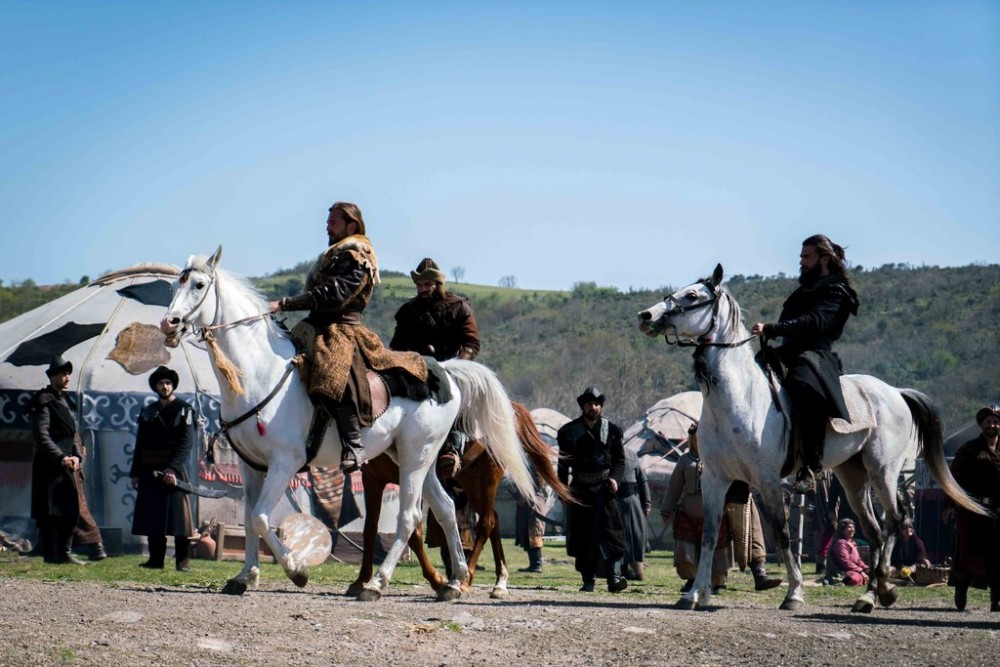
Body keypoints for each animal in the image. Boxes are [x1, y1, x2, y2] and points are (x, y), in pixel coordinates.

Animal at [160, 248, 536, 604]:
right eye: (176, 284)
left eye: (199, 285)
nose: (169, 323)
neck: (260, 372)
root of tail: (445, 372)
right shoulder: (250, 466)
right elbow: (251, 520)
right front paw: (245, 576)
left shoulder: (285, 463)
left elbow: (262, 519)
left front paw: (297, 570)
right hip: (418, 460)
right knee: (444, 509)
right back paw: (455, 582)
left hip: (418, 459)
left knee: (411, 517)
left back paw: (377, 584)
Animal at [348, 402, 576, 600]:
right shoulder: (372, 480)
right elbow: (370, 529)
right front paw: (361, 581)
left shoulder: (415, 478)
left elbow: (414, 534)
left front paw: (437, 580)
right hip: (470, 480)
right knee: (494, 521)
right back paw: (499, 582)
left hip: (487, 476)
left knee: (486, 523)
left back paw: (466, 581)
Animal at [640, 264, 992, 612]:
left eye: (692, 295)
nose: (646, 316)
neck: (739, 399)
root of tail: (896, 392)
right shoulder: (715, 479)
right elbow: (710, 536)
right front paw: (694, 594)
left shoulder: (768, 481)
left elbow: (782, 534)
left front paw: (794, 593)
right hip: (852, 478)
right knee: (875, 532)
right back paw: (871, 595)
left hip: (883, 471)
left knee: (895, 521)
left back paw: (879, 591)